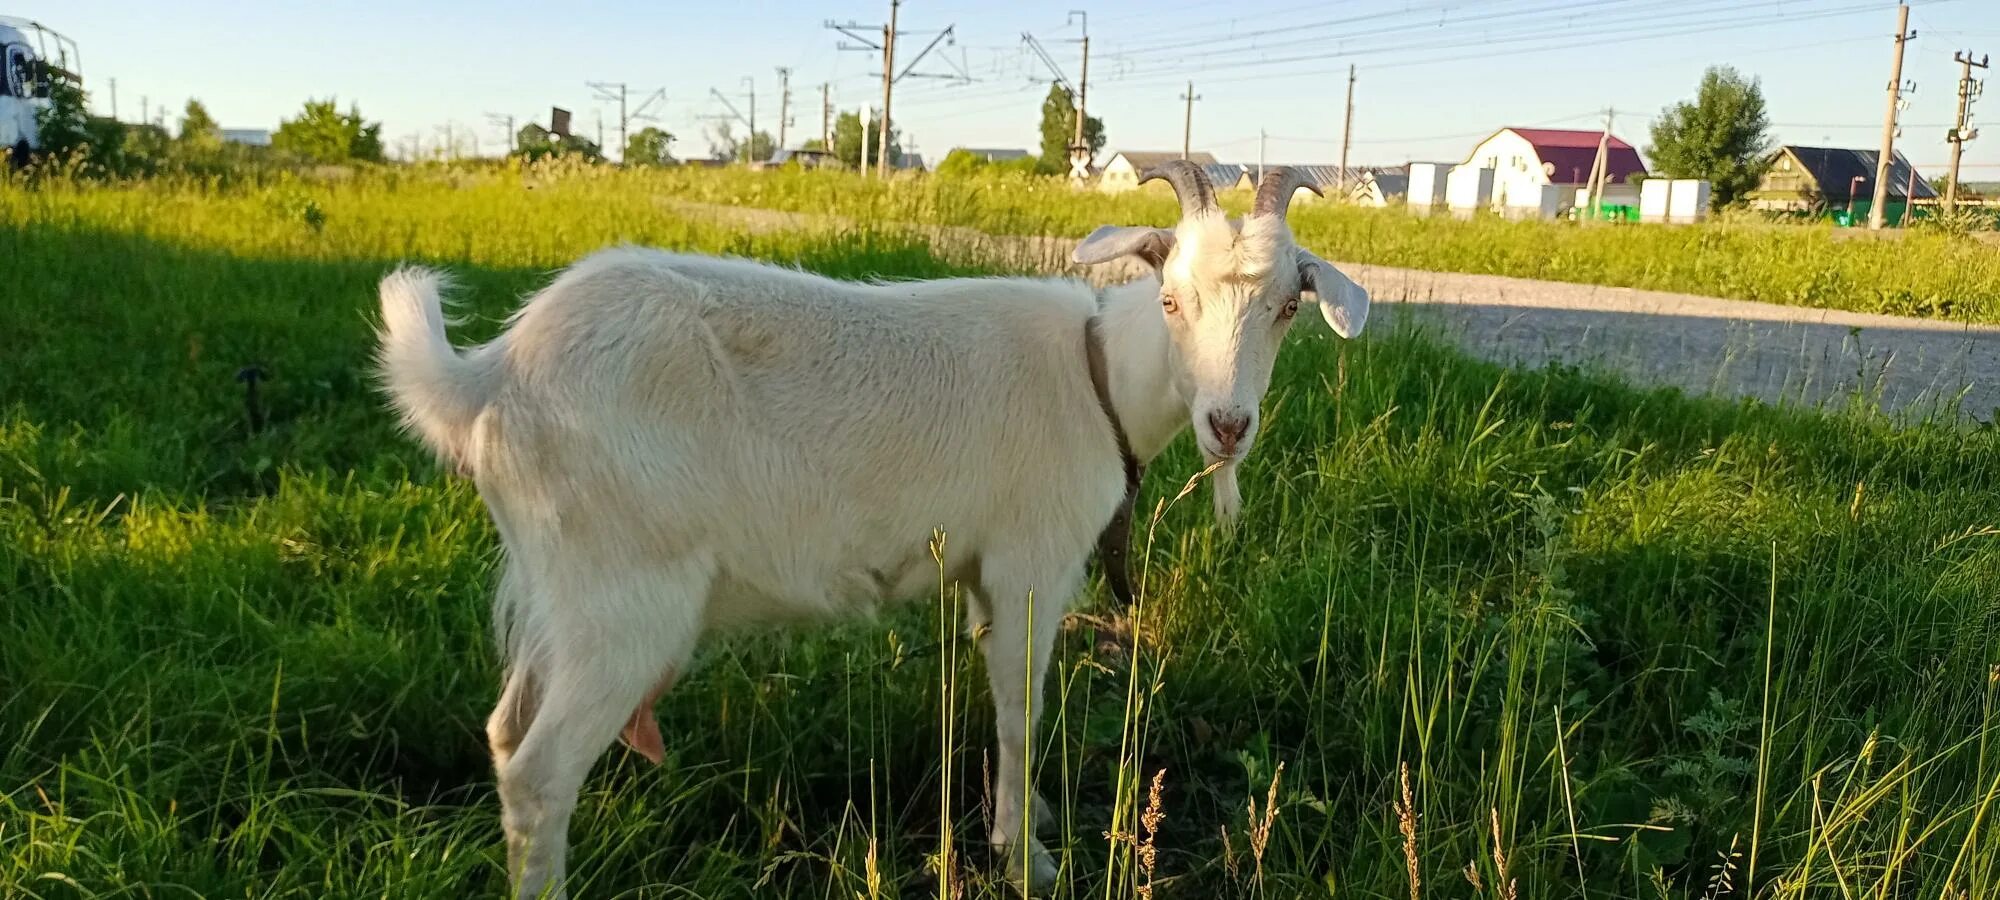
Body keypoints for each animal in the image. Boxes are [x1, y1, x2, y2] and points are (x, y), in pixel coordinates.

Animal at [372, 163, 1376, 900]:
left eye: (1289, 306)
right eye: (1170, 298)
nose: (1228, 426)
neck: (1098, 374)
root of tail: (491, 374)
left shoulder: (978, 572)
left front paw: (1023, 824)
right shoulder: (1030, 562)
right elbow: (1022, 708)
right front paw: (1029, 859)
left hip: (560, 589)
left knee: (507, 732)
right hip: (623, 598)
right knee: (541, 773)